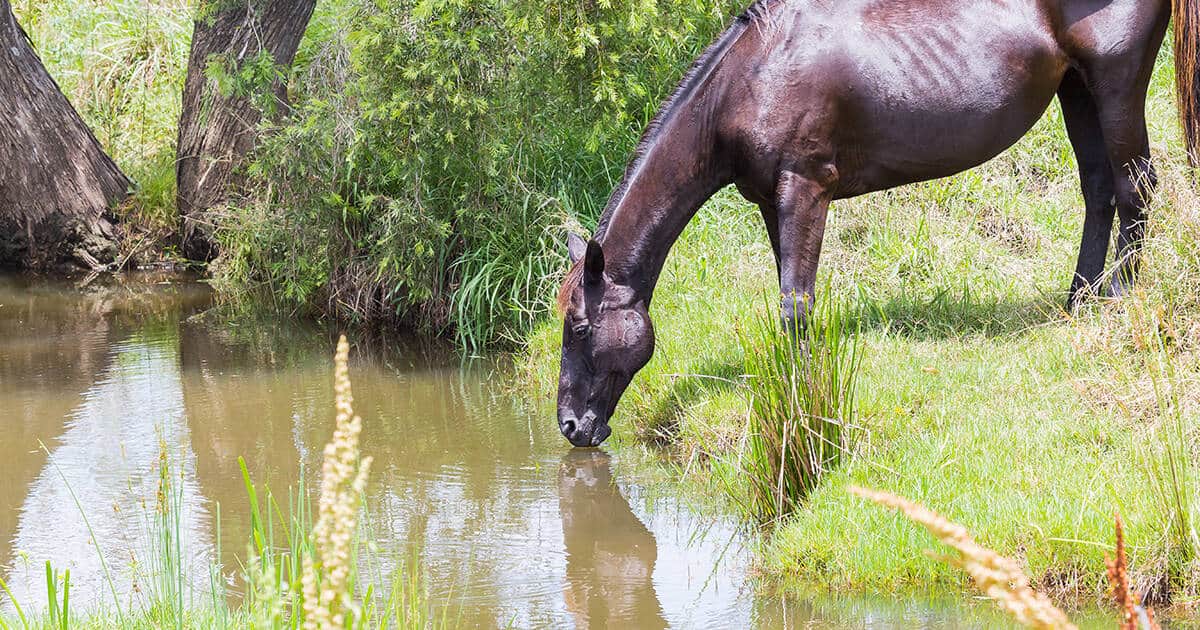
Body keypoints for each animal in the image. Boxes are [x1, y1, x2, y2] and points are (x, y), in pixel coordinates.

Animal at [555, 0, 1200, 447]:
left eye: (581, 328)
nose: (568, 425)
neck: (754, 77)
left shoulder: (806, 188)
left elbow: (795, 303)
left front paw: (801, 399)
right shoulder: (772, 202)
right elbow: (794, 298)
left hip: (1116, 85)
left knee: (1134, 188)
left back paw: (1119, 296)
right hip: (1076, 88)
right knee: (1098, 189)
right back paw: (1078, 299)